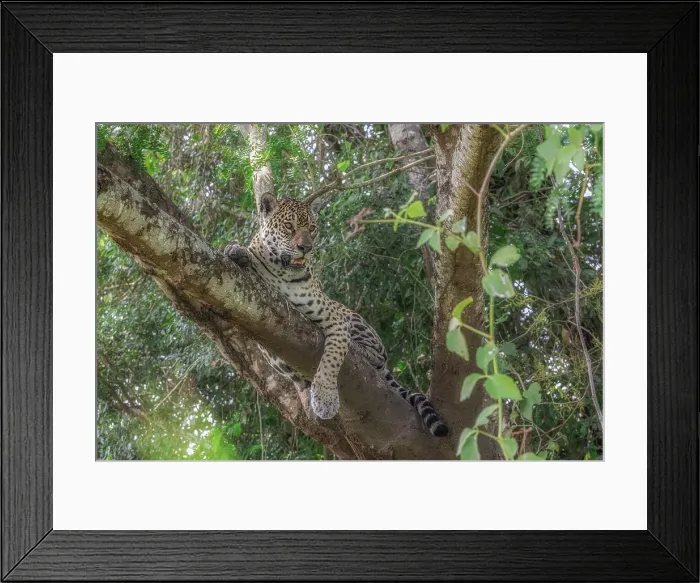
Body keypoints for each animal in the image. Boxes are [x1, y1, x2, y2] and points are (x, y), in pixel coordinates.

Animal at [224, 192, 448, 437]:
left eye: (312, 228)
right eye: (289, 227)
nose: (306, 248)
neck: (282, 272)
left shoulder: (335, 318)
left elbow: (331, 360)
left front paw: (325, 400)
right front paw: (237, 252)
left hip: (353, 318)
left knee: (379, 356)